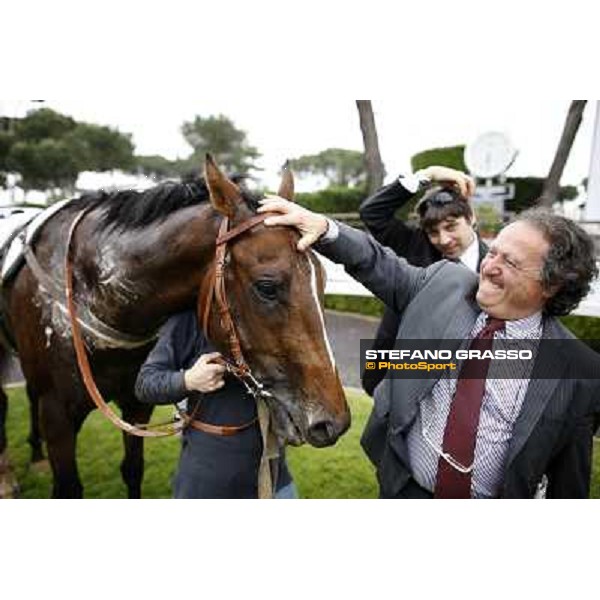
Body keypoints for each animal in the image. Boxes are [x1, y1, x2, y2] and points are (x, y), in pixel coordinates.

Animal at [0, 155, 352, 496]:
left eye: (322, 280)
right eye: (267, 287)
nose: (333, 422)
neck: (91, 287)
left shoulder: (136, 404)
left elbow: (132, 469)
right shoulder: (58, 414)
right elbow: (68, 487)